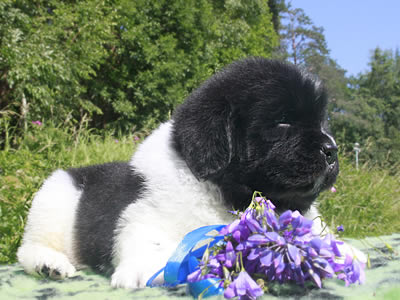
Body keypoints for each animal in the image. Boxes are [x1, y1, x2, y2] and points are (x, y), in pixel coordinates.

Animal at [19, 56, 344, 288]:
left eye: (322, 123)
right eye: (283, 121)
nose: (332, 150)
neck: (226, 195)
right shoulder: (142, 212)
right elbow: (148, 240)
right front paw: (145, 269)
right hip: (53, 199)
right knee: (28, 248)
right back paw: (49, 264)